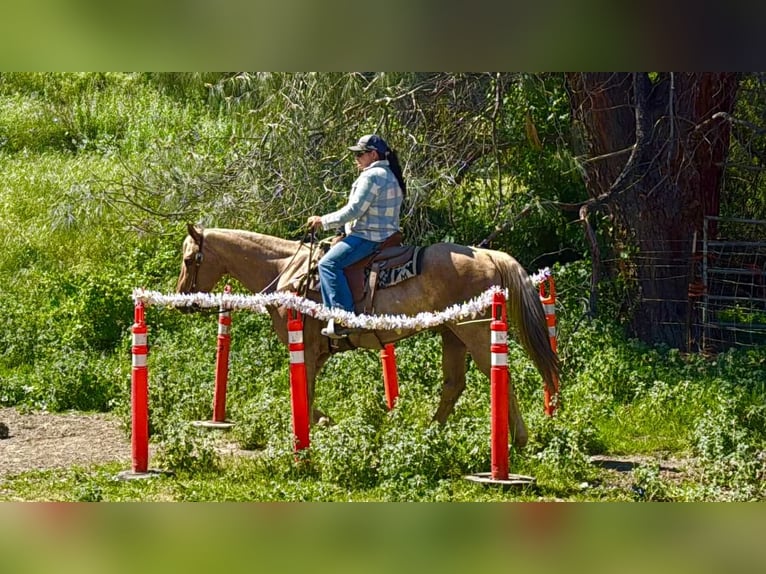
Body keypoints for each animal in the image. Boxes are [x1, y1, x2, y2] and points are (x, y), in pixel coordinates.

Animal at [175, 224, 559, 448]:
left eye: (191, 259)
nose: (181, 300)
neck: (286, 270)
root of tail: (489, 255)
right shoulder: (318, 352)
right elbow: (307, 392)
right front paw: (322, 422)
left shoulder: (306, 346)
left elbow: (304, 391)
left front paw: (312, 429)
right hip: (452, 335)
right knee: (453, 385)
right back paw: (428, 433)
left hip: (476, 332)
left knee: (498, 378)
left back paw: (519, 440)